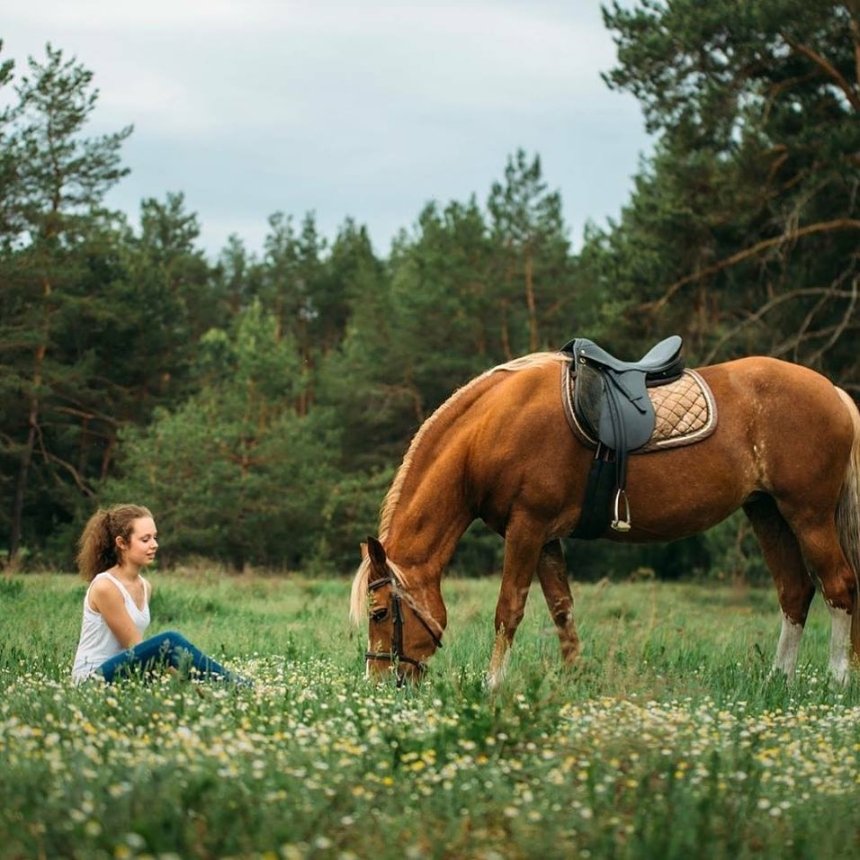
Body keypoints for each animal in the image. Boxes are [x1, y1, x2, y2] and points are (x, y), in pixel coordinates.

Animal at [346, 346, 856, 688]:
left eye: (378, 612)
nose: (379, 683)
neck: (491, 432)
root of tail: (831, 390)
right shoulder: (545, 536)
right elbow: (562, 609)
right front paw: (575, 678)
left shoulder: (526, 529)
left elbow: (508, 610)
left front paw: (493, 687)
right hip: (766, 513)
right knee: (795, 592)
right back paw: (777, 680)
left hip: (808, 514)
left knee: (839, 587)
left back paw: (837, 680)